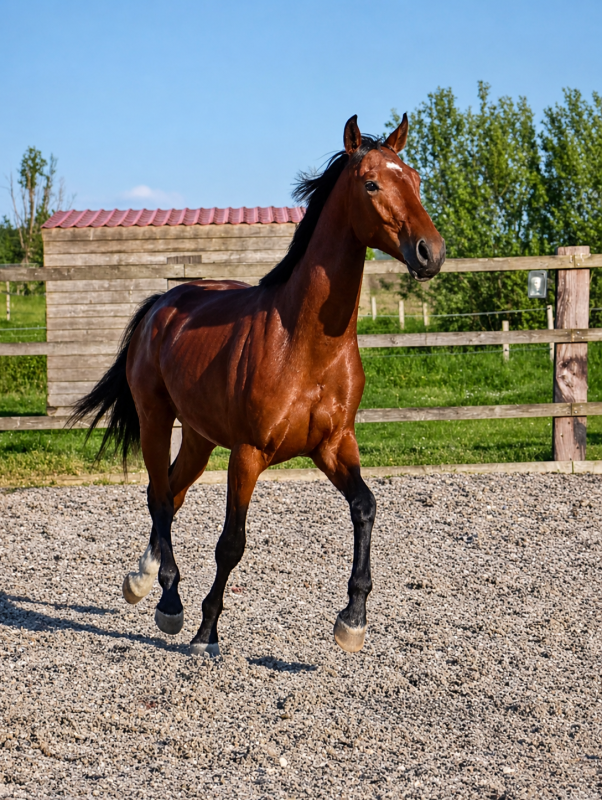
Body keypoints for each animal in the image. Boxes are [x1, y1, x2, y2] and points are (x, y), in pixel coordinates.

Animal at [72, 114, 446, 657]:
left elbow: (365, 507)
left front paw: (352, 620)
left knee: (169, 493)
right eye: (372, 183)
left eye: (415, 180)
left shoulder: (334, 445)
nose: (430, 252)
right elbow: (231, 543)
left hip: (200, 437)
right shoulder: (249, 454)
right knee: (160, 497)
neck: (305, 344)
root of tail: (162, 304)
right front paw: (206, 632)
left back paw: (141, 580)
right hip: (156, 419)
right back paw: (170, 603)